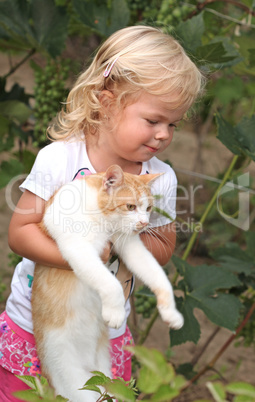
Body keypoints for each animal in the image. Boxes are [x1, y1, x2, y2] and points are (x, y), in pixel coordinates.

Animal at [31, 165, 183, 400]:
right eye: (130, 206)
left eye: (148, 208)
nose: (144, 223)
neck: (101, 216)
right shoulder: (78, 248)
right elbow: (110, 283)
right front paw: (116, 312)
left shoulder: (130, 244)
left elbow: (158, 276)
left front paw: (171, 313)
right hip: (74, 384)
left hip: (105, 377)